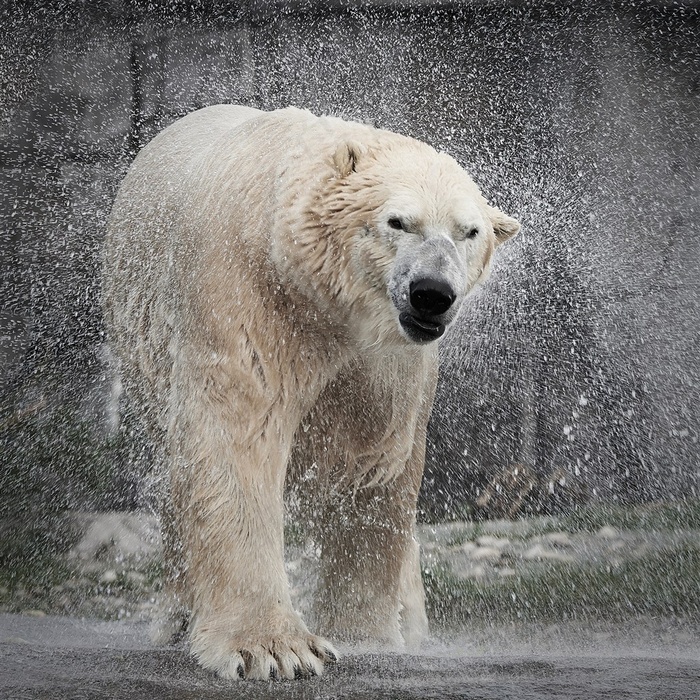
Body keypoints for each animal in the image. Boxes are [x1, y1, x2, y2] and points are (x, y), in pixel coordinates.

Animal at [102, 106, 520, 680]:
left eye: (469, 231)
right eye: (398, 222)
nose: (432, 293)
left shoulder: (387, 359)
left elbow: (374, 461)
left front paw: (366, 635)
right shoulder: (249, 294)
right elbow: (239, 436)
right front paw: (274, 649)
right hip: (140, 339)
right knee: (171, 473)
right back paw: (179, 617)